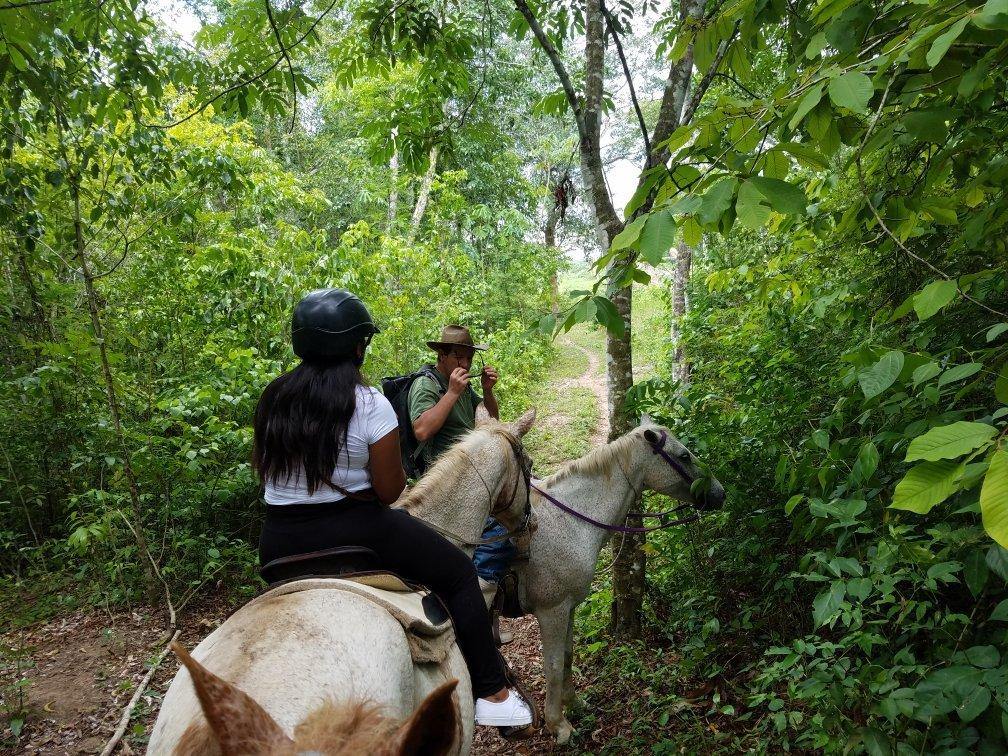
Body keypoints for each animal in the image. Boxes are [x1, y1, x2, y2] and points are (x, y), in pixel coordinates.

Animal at [520, 421, 725, 745]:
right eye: (684, 455)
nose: (720, 493)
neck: (568, 520)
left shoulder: (568, 607)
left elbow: (567, 656)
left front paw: (574, 704)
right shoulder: (551, 610)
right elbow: (551, 666)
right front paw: (559, 725)